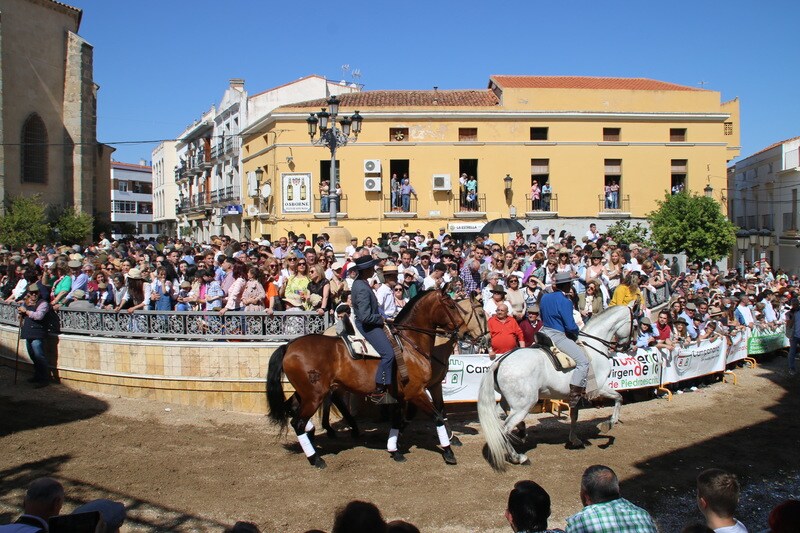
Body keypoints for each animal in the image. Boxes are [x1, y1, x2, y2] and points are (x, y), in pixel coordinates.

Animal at [266, 288, 484, 468]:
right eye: (451, 306)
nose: (466, 332)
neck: (410, 344)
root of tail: (289, 345)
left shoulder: (403, 395)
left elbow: (398, 421)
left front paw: (395, 450)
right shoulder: (417, 392)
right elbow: (437, 416)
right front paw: (449, 452)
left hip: (307, 393)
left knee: (293, 410)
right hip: (314, 395)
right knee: (298, 422)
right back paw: (316, 458)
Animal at [476, 302, 636, 472]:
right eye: (635, 325)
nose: (627, 346)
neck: (594, 348)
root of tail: (501, 361)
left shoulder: (574, 395)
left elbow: (574, 416)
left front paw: (574, 440)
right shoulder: (599, 388)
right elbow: (619, 398)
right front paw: (609, 423)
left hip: (508, 401)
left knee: (500, 418)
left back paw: (521, 432)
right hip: (523, 406)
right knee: (505, 429)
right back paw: (519, 457)